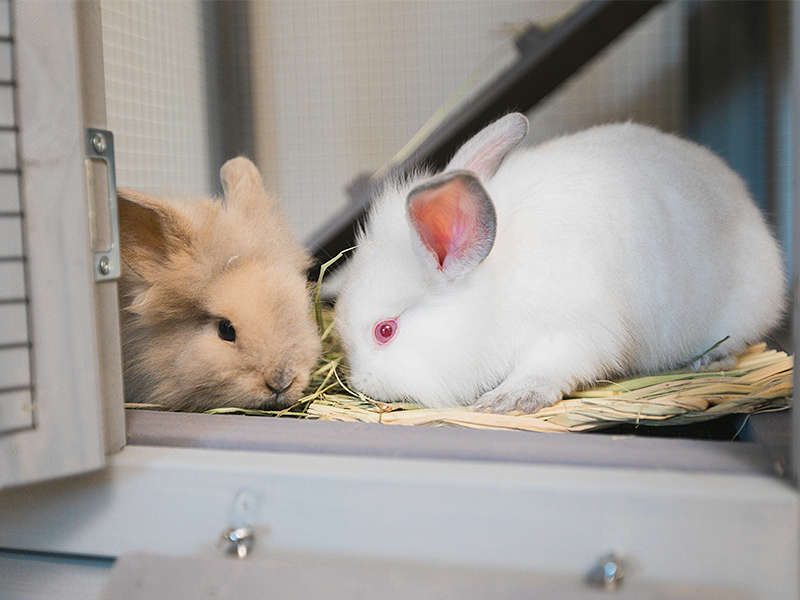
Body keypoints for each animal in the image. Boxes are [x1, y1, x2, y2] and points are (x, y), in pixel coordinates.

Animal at [334, 113, 787, 414]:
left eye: (385, 331)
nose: (361, 384)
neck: (491, 292)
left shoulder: (574, 332)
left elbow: (547, 368)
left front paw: (506, 400)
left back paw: (710, 360)